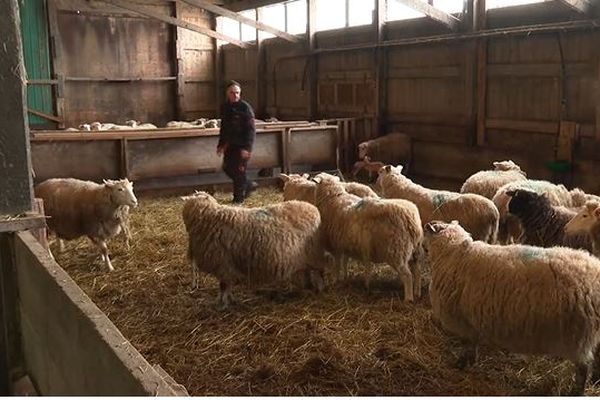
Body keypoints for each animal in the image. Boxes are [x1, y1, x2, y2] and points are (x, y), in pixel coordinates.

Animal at [180, 192, 328, 308]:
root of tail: (313, 209)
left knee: (319, 273)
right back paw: (306, 286)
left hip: (314, 254)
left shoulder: (223, 265)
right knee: (307, 270)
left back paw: (319, 290)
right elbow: (227, 286)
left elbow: (223, 286)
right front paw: (230, 300)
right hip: (306, 256)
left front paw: (222, 304)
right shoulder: (228, 267)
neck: (210, 218)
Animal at [314, 173, 422, 302]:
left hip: (397, 251)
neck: (333, 198)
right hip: (414, 251)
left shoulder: (336, 246)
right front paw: (345, 277)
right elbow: (345, 262)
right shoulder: (345, 243)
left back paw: (408, 298)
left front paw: (336, 280)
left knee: (407, 276)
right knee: (417, 271)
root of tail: (410, 218)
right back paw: (417, 292)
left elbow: (337, 265)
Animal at [424, 220, 600, 396]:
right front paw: (471, 361)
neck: (452, 253)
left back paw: (576, 391)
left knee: (583, 368)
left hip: (578, 336)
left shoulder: (463, 319)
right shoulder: (472, 320)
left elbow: (467, 344)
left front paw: (461, 364)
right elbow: (473, 343)